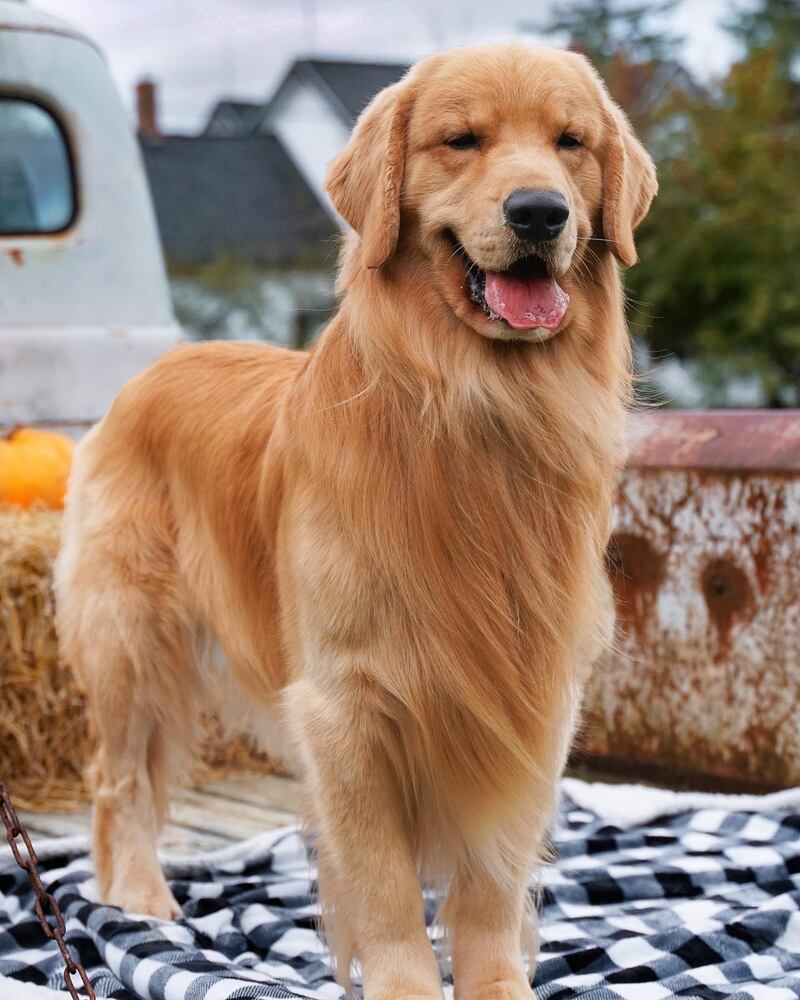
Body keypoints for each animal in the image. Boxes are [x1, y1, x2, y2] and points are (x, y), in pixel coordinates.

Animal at [54, 41, 656, 1000]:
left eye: (571, 143)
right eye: (461, 140)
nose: (539, 212)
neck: (472, 412)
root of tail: (153, 370)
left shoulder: (533, 695)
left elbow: (492, 883)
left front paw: (498, 982)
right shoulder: (346, 707)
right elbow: (384, 886)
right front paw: (406, 983)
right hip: (130, 642)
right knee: (118, 784)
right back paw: (140, 899)